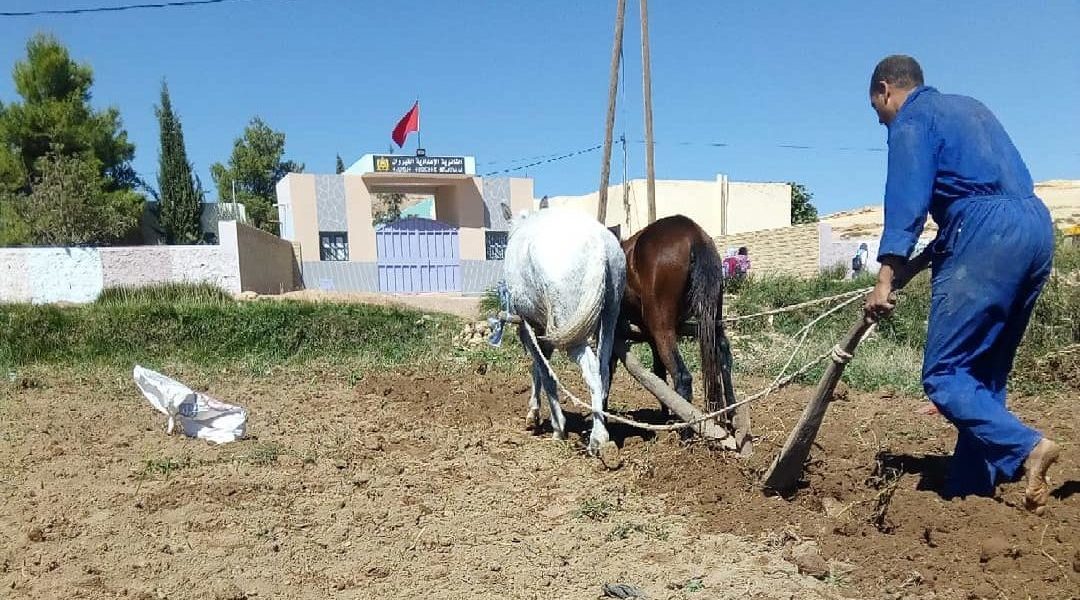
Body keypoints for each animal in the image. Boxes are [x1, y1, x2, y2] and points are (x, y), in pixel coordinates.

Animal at [503, 207, 630, 455]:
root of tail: (597, 244)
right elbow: (539, 366)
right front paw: (534, 414)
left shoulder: (529, 326)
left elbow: (544, 370)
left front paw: (557, 427)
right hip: (610, 314)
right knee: (603, 369)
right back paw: (600, 424)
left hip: (570, 331)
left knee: (590, 368)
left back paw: (598, 438)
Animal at [617, 214, 743, 440]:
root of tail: (693, 233)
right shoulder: (651, 336)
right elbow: (658, 373)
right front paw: (665, 414)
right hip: (711, 321)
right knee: (723, 356)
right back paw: (730, 414)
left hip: (663, 329)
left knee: (682, 376)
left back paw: (686, 432)